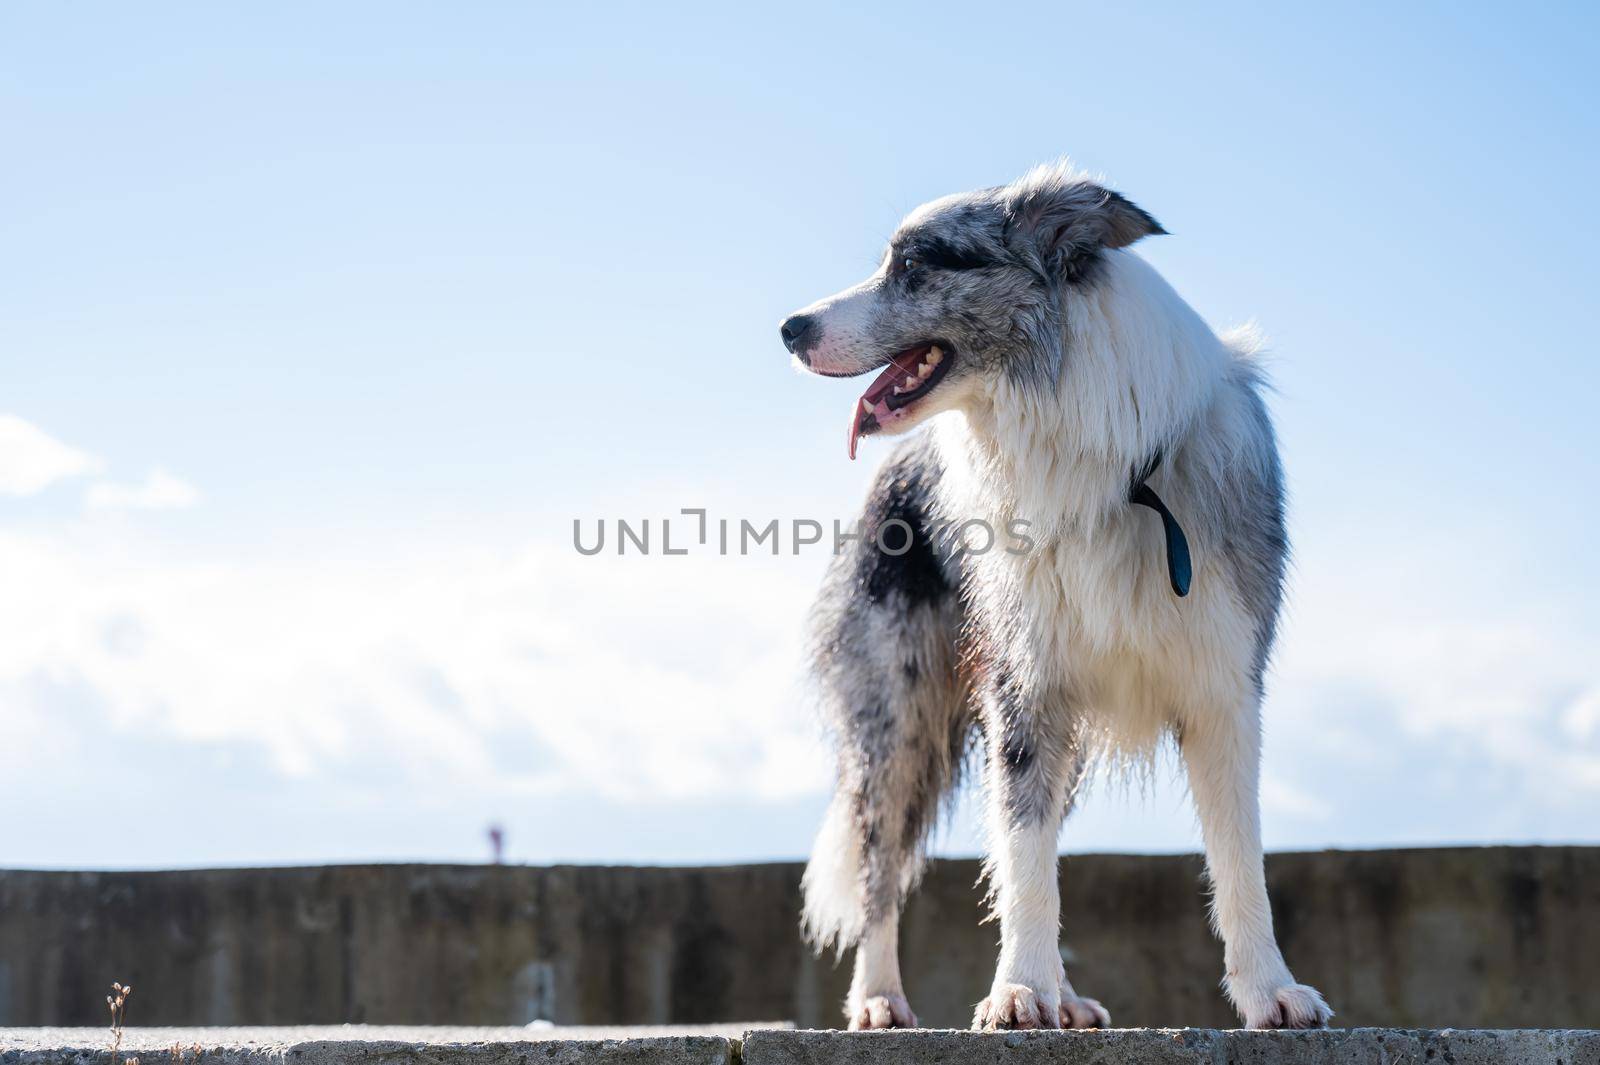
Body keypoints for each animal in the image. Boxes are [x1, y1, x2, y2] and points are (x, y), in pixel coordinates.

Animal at [780, 159, 1331, 1029]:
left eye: (916, 263)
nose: (790, 327)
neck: (1108, 459)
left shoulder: (1224, 686)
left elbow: (1240, 859)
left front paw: (1270, 990)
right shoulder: (1025, 681)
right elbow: (1024, 856)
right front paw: (1017, 992)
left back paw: (1065, 999)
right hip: (896, 716)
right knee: (881, 866)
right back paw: (878, 998)